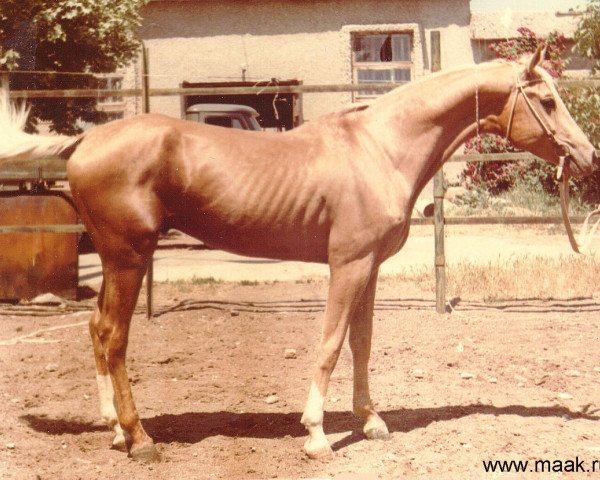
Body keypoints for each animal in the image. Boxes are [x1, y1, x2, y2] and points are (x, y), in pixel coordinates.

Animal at [0, 49, 596, 462]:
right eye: (546, 102)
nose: (588, 156)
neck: (378, 147)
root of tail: (86, 141)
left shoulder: (370, 268)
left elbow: (361, 343)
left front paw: (371, 421)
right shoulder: (347, 265)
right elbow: (330, 344)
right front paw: (316, 436)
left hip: (116, 258)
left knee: (96, 329)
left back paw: (113, 430)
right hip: (127, 257)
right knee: (114, 336)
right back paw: (140, 438)